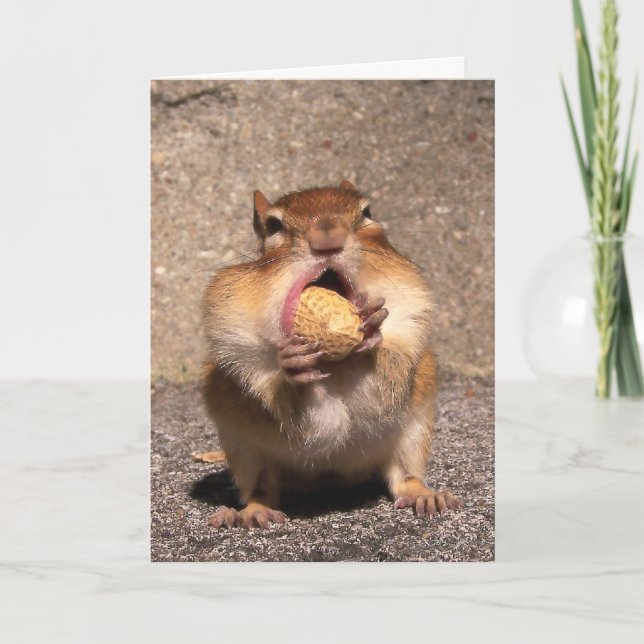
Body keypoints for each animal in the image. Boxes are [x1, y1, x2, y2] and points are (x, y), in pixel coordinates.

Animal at [202, 180, 462, 528]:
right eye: (273, 225)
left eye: (367, 212)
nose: (328, 239)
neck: (335, 367)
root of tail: (330, 480)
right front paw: (294, 372)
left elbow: (380, 391)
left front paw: (370, 334)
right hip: (244, 450)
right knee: (261, 489)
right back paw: (251, 512)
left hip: (414, 431)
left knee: (404, 478)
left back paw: (426, 495)